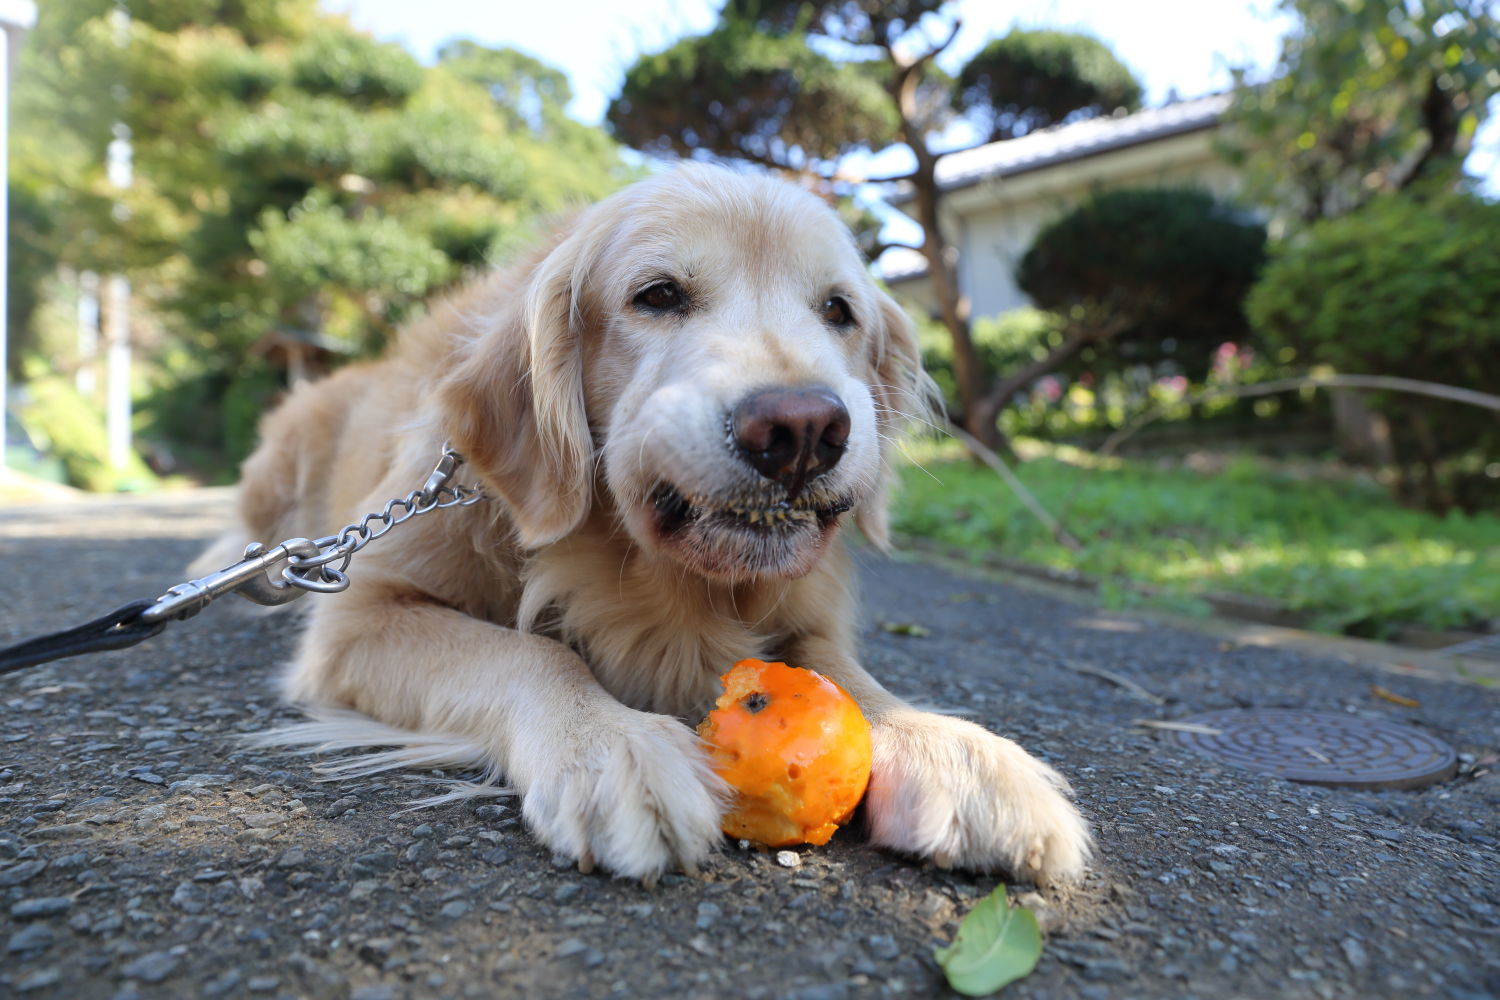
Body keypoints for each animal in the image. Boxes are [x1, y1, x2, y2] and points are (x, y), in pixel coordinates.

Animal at [214, 164, 1092, 881]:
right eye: (659, 294)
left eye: (838, 311)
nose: (803, 430)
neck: (659, 585)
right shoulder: (361, 617)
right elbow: (533, 656)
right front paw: (613, 747)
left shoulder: (808, 618)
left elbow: (849, 679)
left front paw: (959, 755)